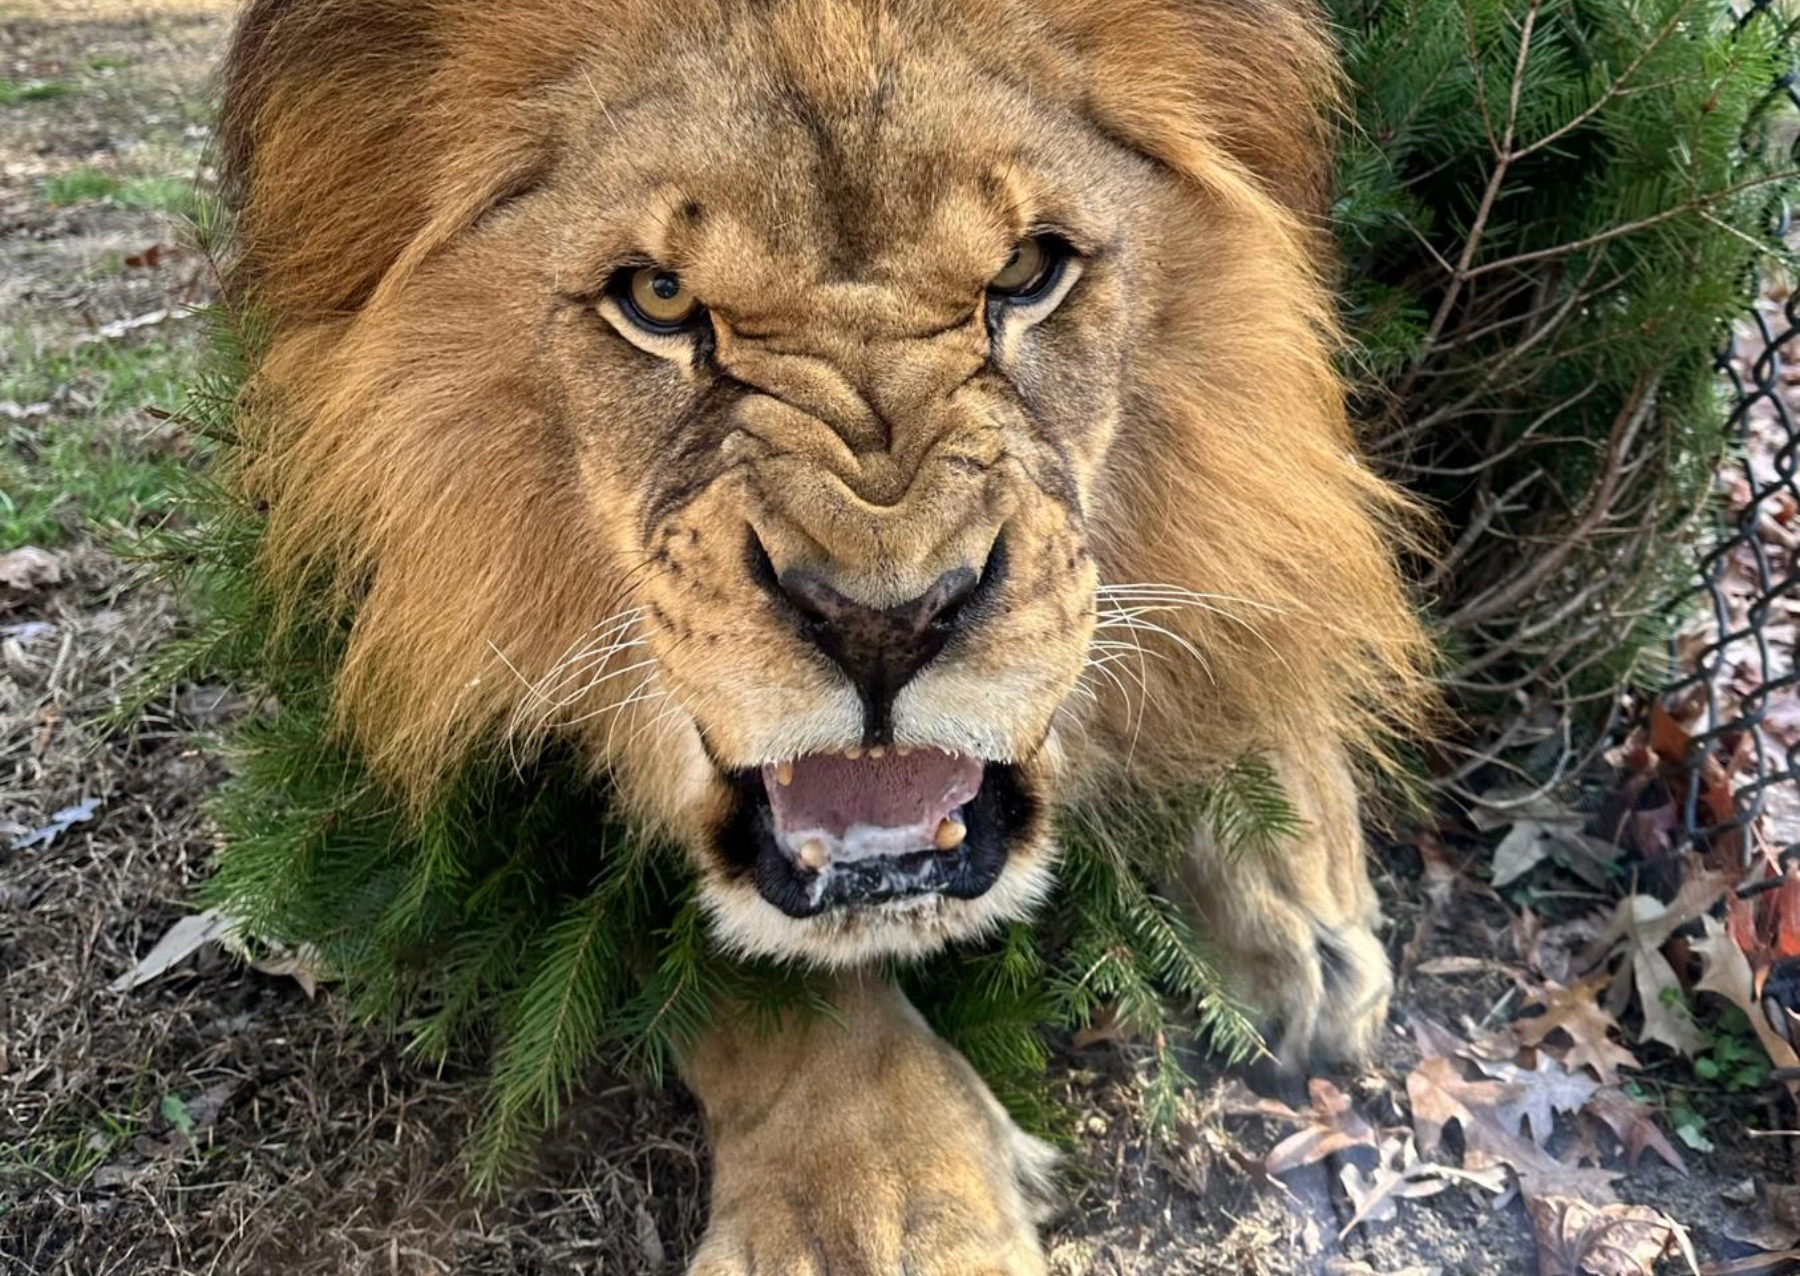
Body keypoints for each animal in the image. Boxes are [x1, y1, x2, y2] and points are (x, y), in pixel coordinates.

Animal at [216, 0, 1433, 1268]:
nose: (885, 621)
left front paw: (1298, 882)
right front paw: (884, 1196)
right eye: (658, 298)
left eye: (1026, 272)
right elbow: (735, 962)